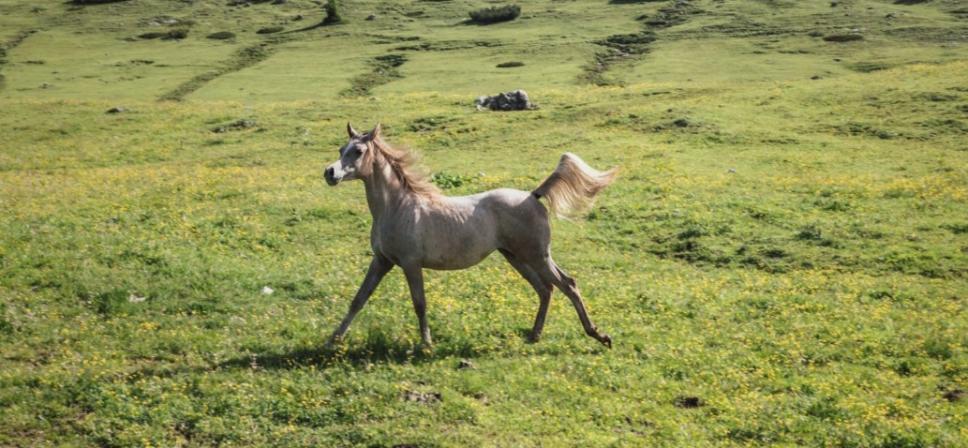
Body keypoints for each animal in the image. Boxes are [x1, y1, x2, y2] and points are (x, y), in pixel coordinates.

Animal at [322, 123, 616, 350]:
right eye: (340, 149)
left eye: (358, 151)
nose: (330, 173)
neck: (398, 207)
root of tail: (533, 195)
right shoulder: (382, 261)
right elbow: (358, 299)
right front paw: (332, 341)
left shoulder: (410, 263)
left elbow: (420, 303)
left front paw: (426, 344)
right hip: (517, 257)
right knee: (546, 289)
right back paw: (534, 335)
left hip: (537, 256)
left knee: (568, 284)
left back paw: (599, 336)